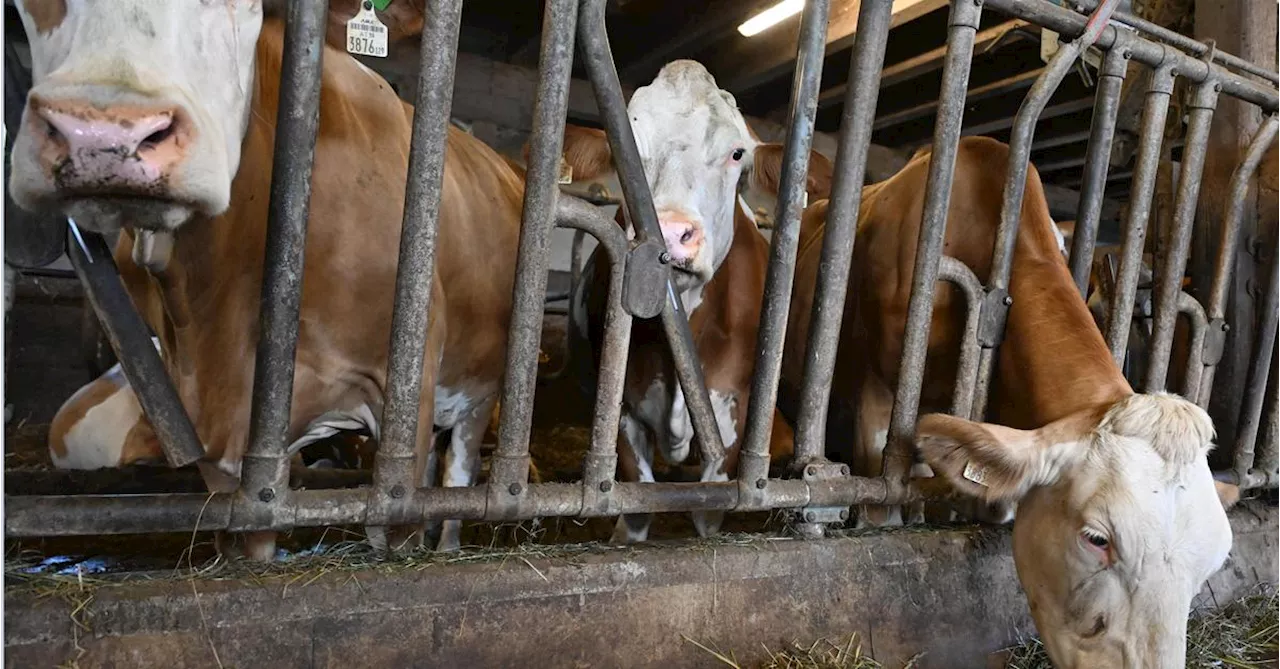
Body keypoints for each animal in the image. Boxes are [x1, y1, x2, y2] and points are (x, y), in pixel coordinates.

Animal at [560, 60, 829, 544]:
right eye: (627, 146)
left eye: (737, 153)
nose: (670, 233)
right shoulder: (623, 412)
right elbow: (636, 510)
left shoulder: (733, 417)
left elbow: (708, 514)